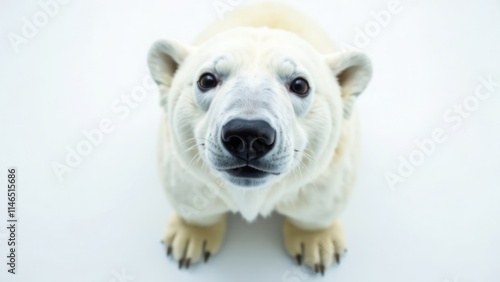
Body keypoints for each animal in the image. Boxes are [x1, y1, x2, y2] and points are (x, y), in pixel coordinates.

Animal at [148, 1, 372, 274]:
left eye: (300, 84)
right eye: (207, 79)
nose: (248, 135)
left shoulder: (331, 169)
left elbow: (319, 204)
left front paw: (318, 245)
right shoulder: (180, 163)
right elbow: (188, 192)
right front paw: (190, 238)